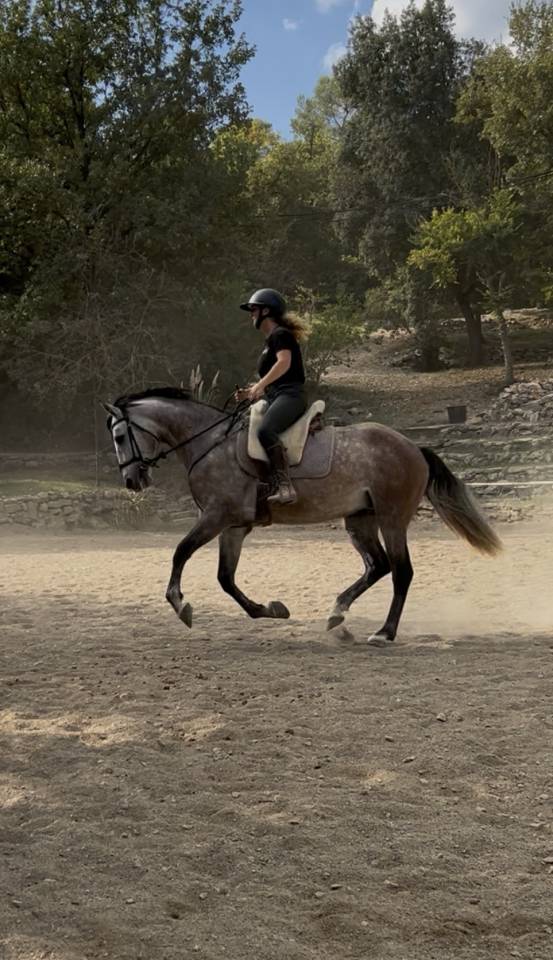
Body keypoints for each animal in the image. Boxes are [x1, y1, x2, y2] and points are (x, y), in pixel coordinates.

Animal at [104, 387, 501, 645]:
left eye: (121, 436)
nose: (132, 481)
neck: (209, 442)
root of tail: (413, 447)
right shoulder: (235, 526)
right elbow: (225, 579)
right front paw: (271, 609)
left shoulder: (216, 516)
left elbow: (181, 552)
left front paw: (180, 604)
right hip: (360, 519)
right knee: (378, 566)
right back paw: (337, 616)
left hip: (391, 518)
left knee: (401, 571)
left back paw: (384, 632)